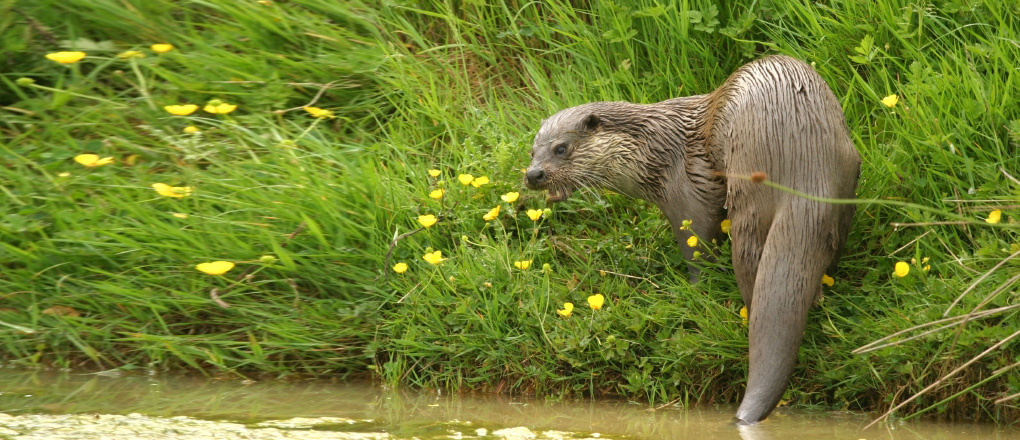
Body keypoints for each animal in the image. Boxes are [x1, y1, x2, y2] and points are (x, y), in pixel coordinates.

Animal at [526, 55, 860, 424]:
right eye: (532, 152)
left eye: (561, 149)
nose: (532, 175)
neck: (652, 151)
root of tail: (806, 166)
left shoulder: (683, 193)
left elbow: (697, 246)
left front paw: (696, 291)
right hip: (847, 172)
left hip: (749, 183)